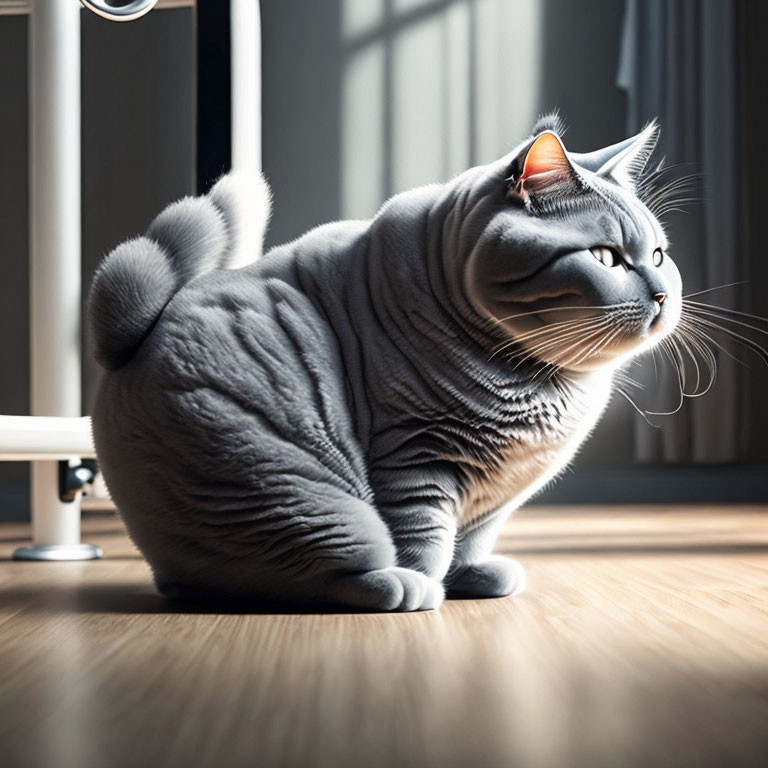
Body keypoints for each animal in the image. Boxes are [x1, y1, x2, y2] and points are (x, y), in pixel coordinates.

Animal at [88, 114, 680, 608]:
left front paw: (473, 577)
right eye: (605, 258)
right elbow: (425, 539)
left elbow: (470, 540)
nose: (661, 294)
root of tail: (128, 342)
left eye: (658, 256)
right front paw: (431, 583)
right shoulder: (416, 457)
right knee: (312, 573)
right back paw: (399, 587)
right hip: (310, 500)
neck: (544, 378)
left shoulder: (494, 498)